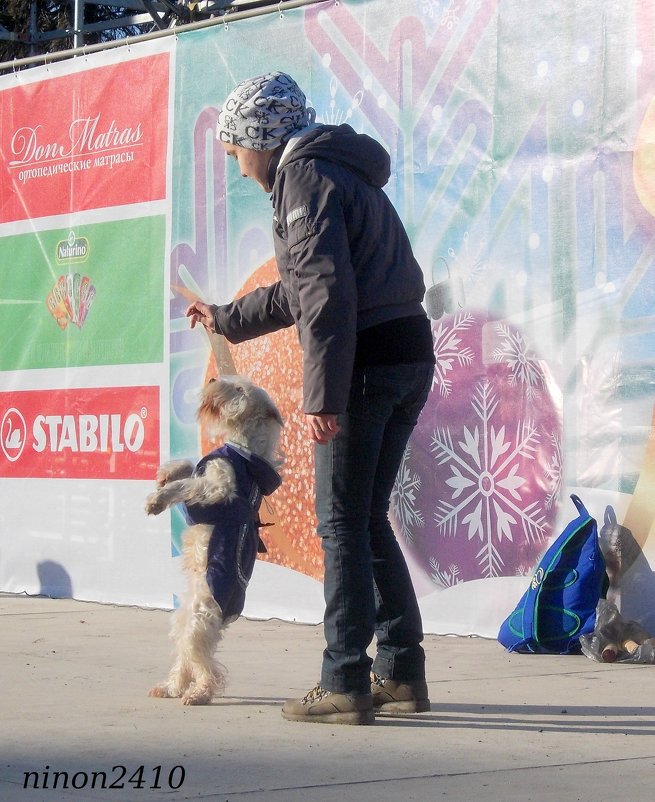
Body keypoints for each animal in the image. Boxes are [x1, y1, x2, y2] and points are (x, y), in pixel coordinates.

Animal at [146, 374, 284, 700]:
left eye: (239, 389)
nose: (212, 379)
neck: (244, 450)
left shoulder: (218, 489)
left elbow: (186, 485)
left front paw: (158, 499)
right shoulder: (207, 472)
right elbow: (189, 467)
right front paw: (166, 473)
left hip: (200, 616)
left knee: (201, 660)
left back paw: (199, 693)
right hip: (182, 618)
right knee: (185, 657)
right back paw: (170, 687)